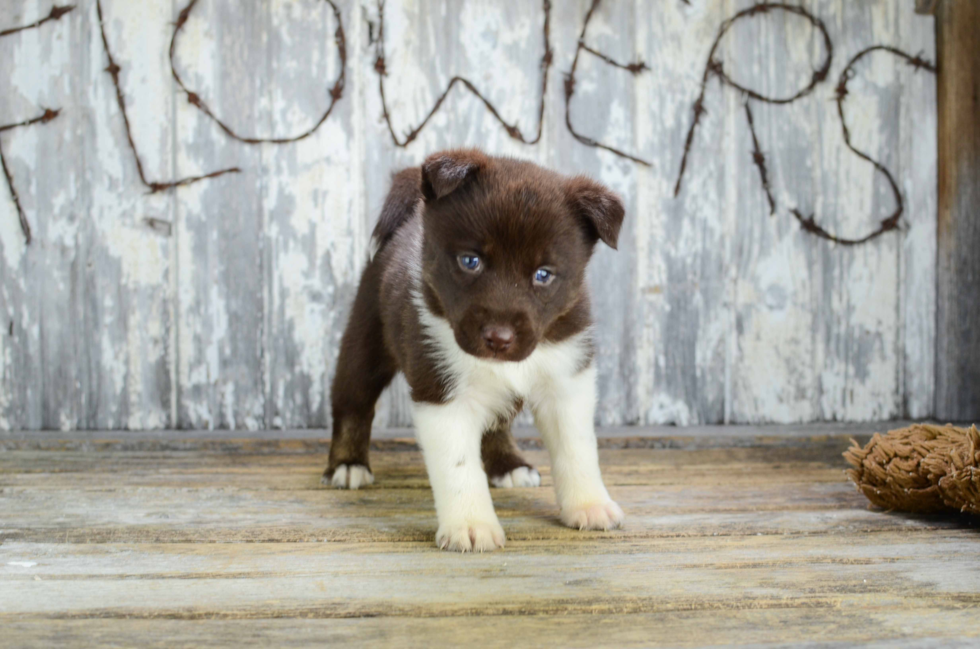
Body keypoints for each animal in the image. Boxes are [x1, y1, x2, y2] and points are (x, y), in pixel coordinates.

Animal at [326, 149, 624, 548]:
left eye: (543, 275)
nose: (498, 338)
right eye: (471, 261)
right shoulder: (441, 391)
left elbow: (577, 448)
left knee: (497, 422)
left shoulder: (568, 377)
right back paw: (347, 465)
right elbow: (458, 466)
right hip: (365, 337)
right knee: (352, 402)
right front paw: (470, 525)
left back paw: (509, 465)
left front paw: (590, 505)